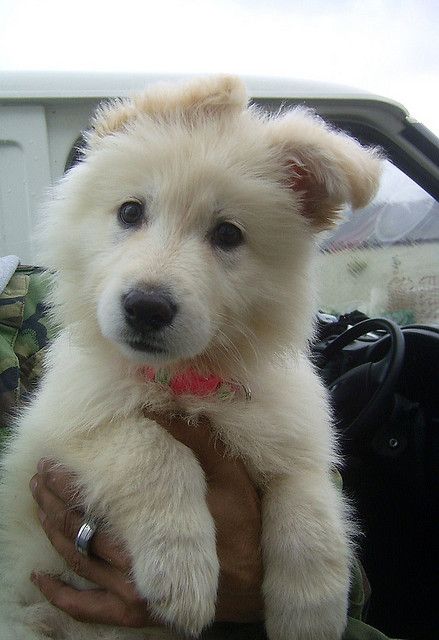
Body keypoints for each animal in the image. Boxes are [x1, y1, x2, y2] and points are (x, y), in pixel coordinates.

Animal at [0, 76, 382, 640]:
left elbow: (310, 501)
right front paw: (180, 572)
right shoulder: (58, 430)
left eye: (228, 234)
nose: (146, 307)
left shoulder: (290, 431)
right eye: (130, 212)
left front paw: (311, 612)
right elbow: (155, 448)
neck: (187, 379)